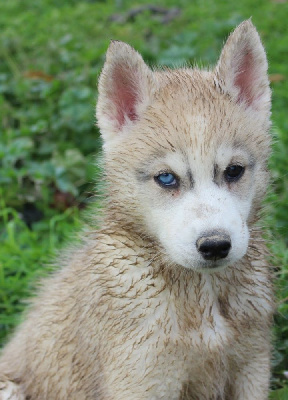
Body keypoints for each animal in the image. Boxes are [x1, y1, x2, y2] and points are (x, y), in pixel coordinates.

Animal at [0, 20, 274, 398]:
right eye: (166, 178)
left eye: (234, 171)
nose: (215, 245)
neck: (202, 297)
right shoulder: (143, 381)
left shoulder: (253, 366)